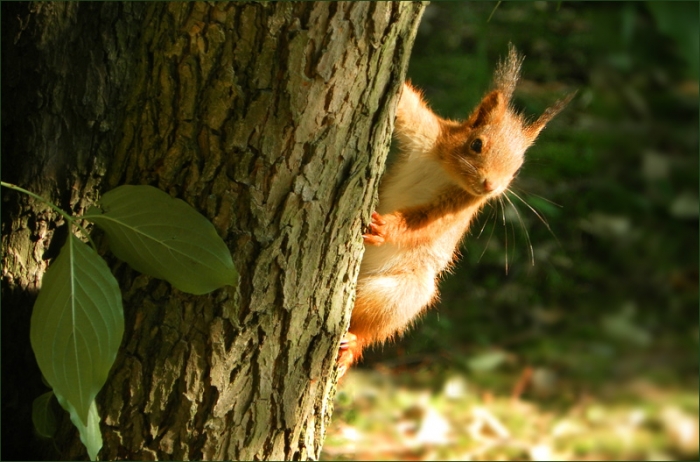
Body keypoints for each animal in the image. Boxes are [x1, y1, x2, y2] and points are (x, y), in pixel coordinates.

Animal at [337, 44, 574, 376]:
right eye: (476, 144)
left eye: (517, 169)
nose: (491, 186)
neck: (448, 171)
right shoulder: (426, 131)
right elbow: (406, 105)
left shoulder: (459, 207)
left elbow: (425, 224)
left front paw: (385, 228)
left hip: (404, 294)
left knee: (369, 329)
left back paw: (352, 345)